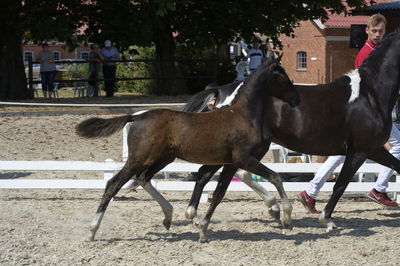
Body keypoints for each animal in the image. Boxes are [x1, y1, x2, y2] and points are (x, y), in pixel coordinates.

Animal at [186, 29, 400, 233]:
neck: (371, 94)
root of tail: (223, 92)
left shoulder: (374, 149)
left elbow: (396, 167)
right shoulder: (359, 151)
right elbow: (341, 184)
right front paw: (327, 220)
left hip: (251, 148)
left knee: (210, 172)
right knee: (227, 173)